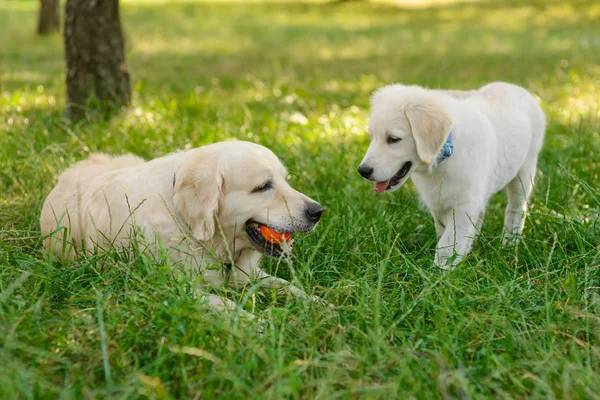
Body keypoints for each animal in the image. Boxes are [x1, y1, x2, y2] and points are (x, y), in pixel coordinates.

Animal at [40, 141, 326, 312]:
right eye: (263, 186)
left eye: (285, 180)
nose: (317, 212)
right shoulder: (174, 289)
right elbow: (225, 304)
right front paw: (256, 324)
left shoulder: (250, 274)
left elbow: (288, 285)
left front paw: (319, 304)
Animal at [358, 82, 548, 268]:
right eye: (372, 137)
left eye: (393, 139)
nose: (363, 171)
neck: (446, 151)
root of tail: (515, 87)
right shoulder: (439, 201)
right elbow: (445, 232)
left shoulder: (465, 203)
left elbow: (449, 241)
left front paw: (440, 271)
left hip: (524, 171)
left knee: (516, 208)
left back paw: (509, 242)